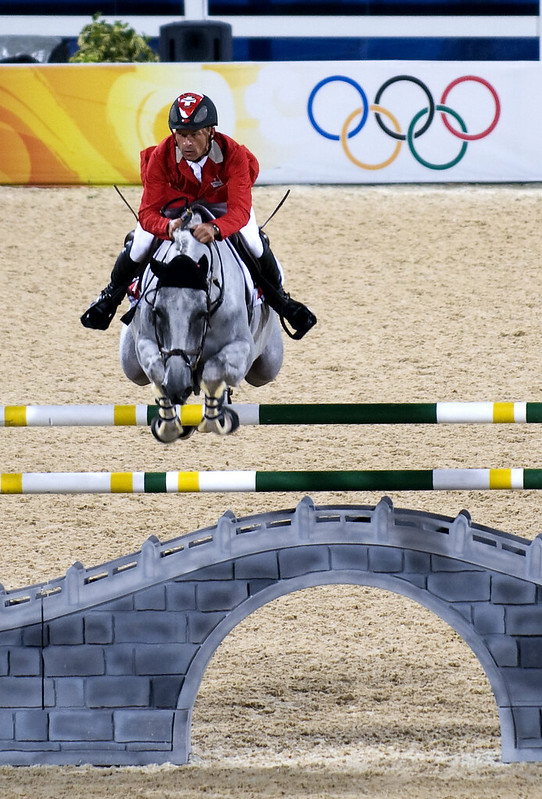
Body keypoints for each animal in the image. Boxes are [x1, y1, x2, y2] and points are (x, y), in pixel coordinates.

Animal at [119, 206, 284, 440]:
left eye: (201, 313)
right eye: (158, 312)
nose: (177, 384)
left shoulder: (241, 347)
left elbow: (214, 371)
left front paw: (217, 419)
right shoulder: (146, 343)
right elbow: (157, 370)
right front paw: (170, 425)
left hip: (268, 364)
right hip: (130, 362)